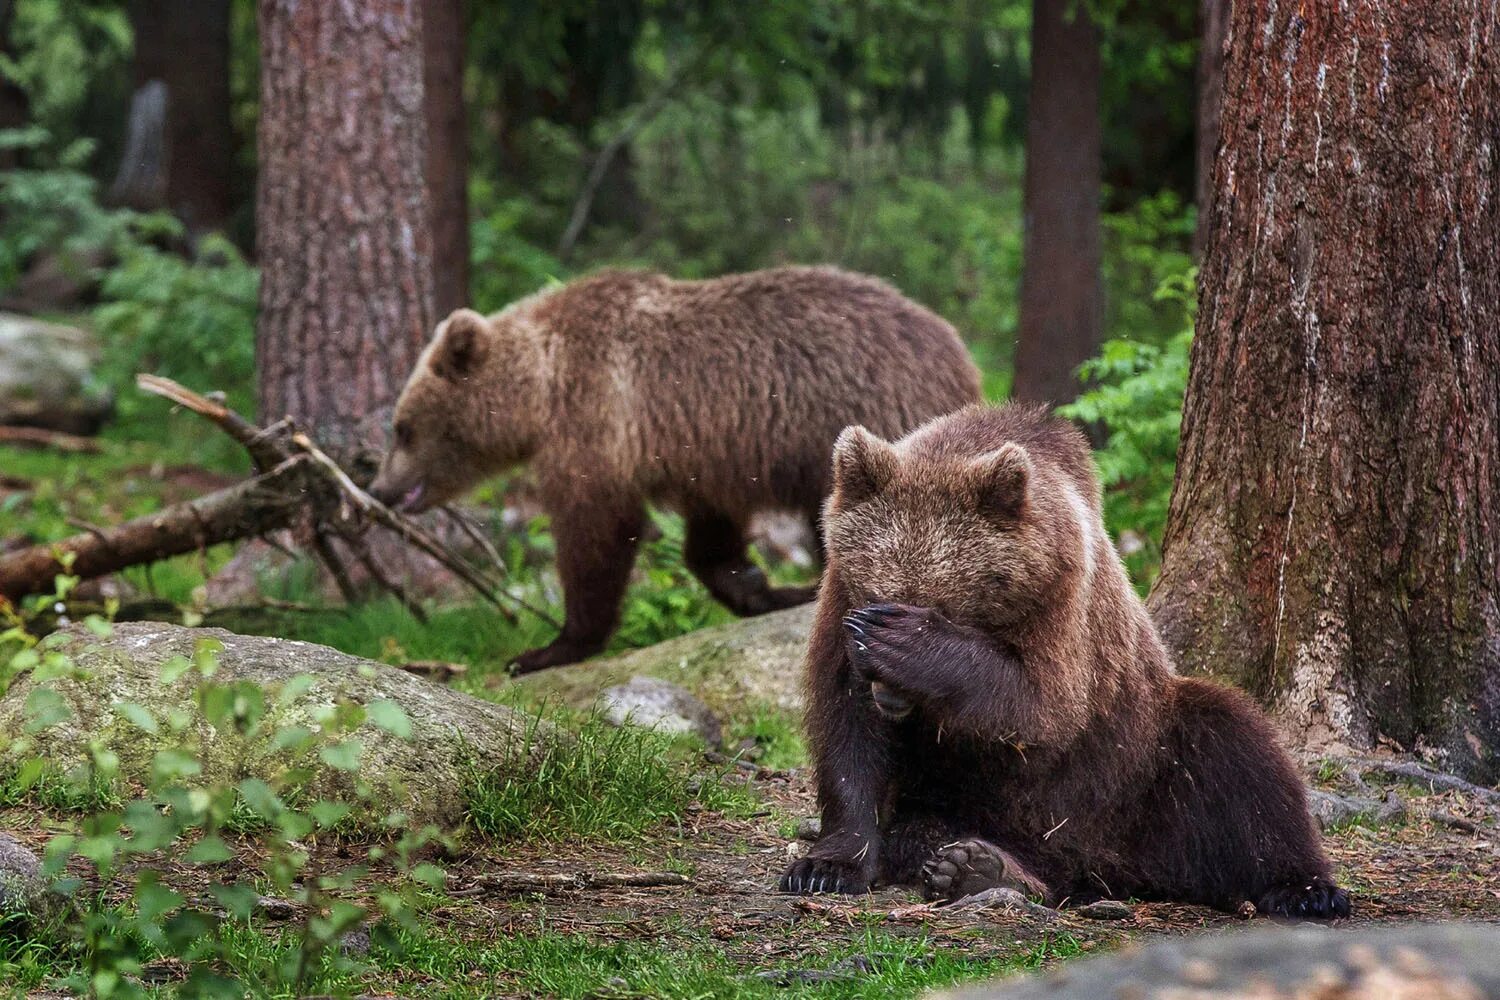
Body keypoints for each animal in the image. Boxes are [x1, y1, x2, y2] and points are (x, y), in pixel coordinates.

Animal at [372, 265, 984, 671]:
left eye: (402, 427)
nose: (379, 489)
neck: (541, 388)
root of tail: (958, 353)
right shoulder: (702, 454)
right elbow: (710, 536)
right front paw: (757, 587)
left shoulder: (597, 419)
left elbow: (597, 530)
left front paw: (549, 647)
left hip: (870, 423)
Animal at [780, 401, 1356, 917]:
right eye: (875, 590)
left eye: (943, 606)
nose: (889, 691)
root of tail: (1107, 868)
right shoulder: (837, 600)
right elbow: (849, 731)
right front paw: (825, 867)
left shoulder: (1061, 602)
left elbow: (1041, 706)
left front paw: (911, 645)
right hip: (972, 800)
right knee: (929, 831)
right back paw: (978, 866)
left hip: (1141, 765)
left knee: (1237, 752)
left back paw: (1305, 889)